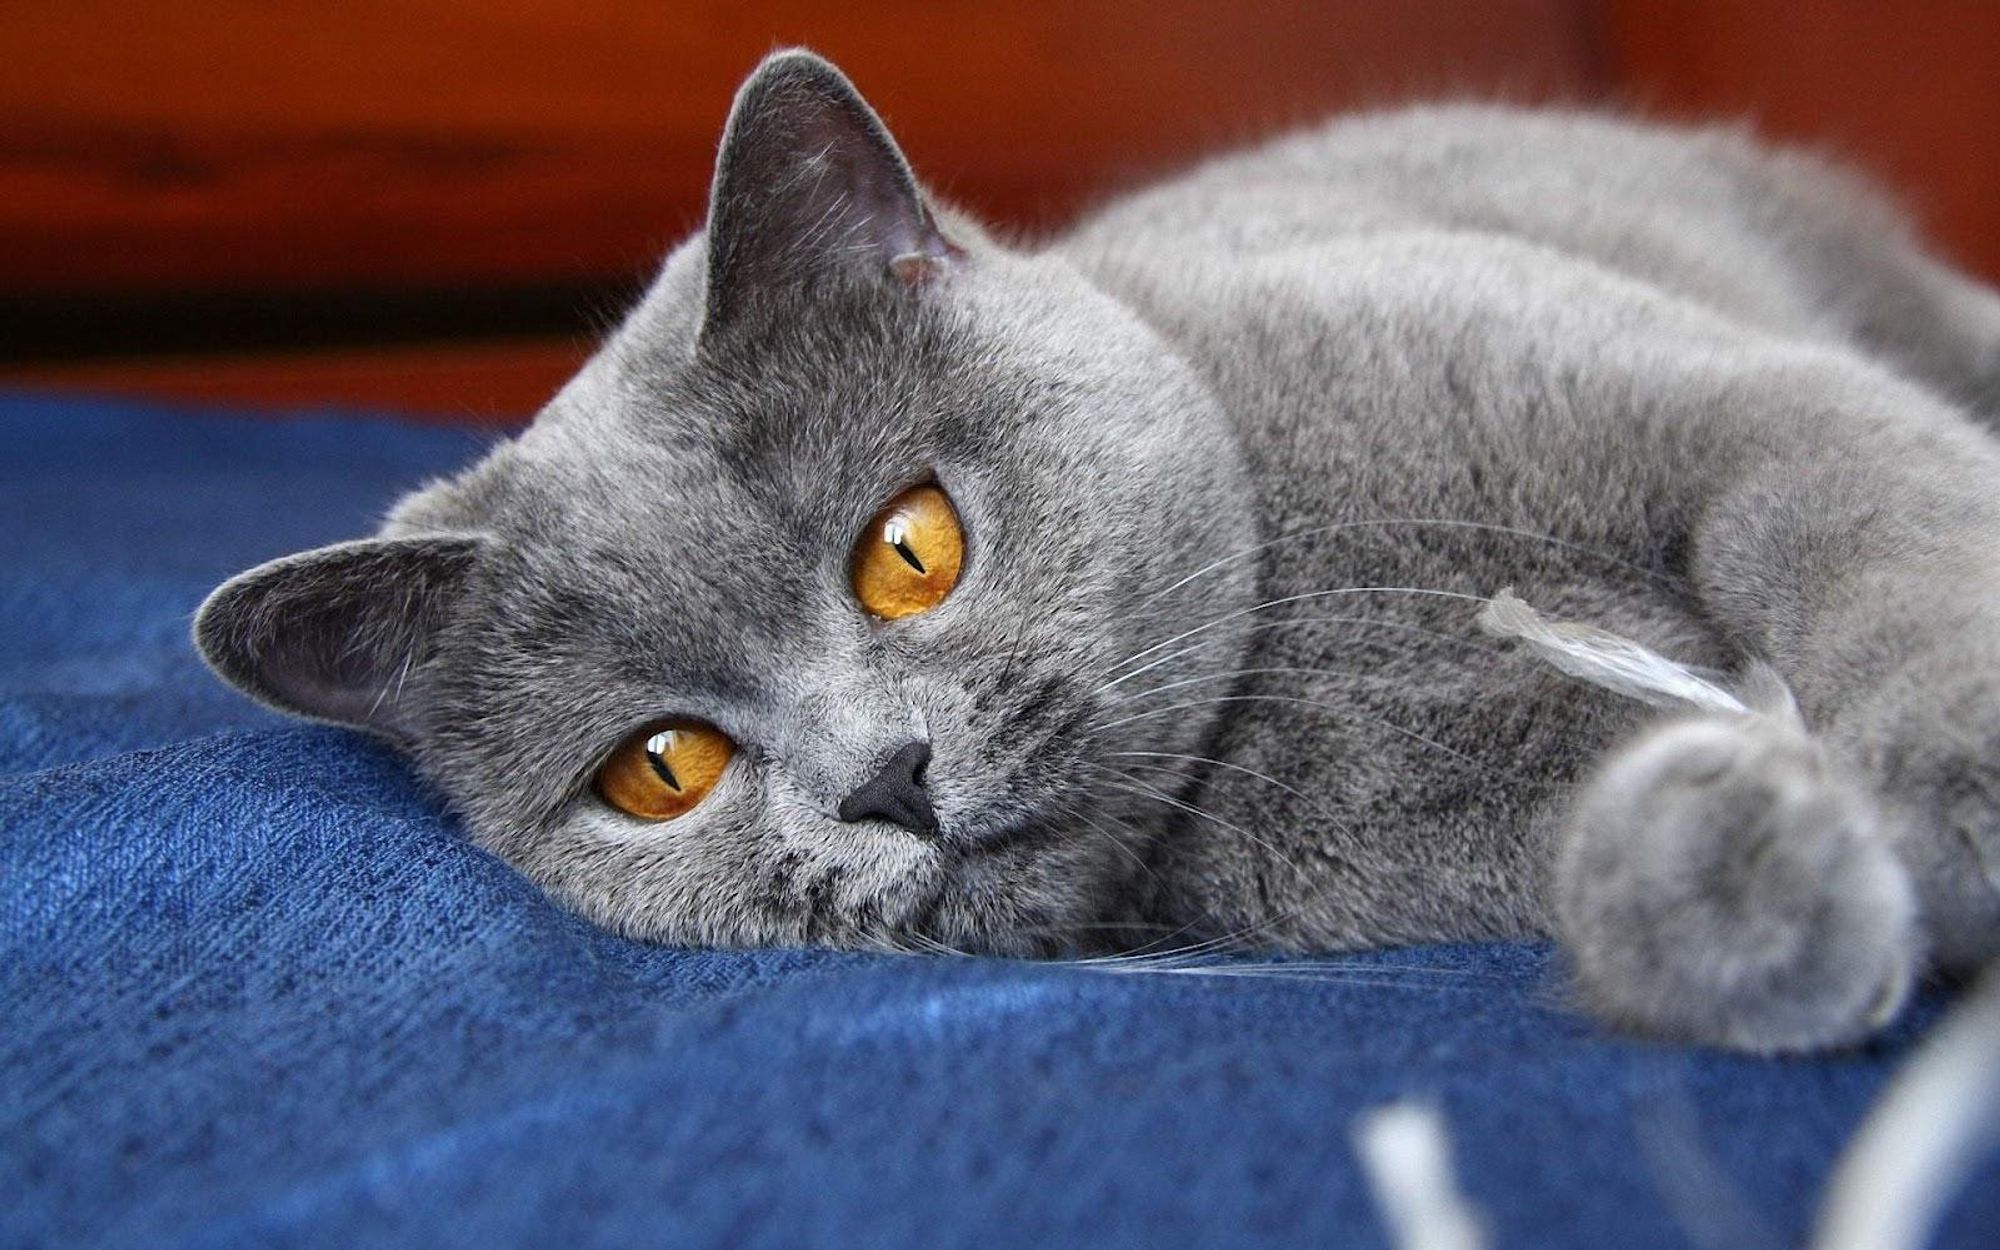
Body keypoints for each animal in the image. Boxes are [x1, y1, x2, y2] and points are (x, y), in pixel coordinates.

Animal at [195, 48, 2000, 1048]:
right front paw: (1755, 882)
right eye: (661, 769)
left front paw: (1960, 786)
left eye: (910, 551)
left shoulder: (1719, 401)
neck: (1295, 638)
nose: (883, 779)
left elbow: (1870, 531)